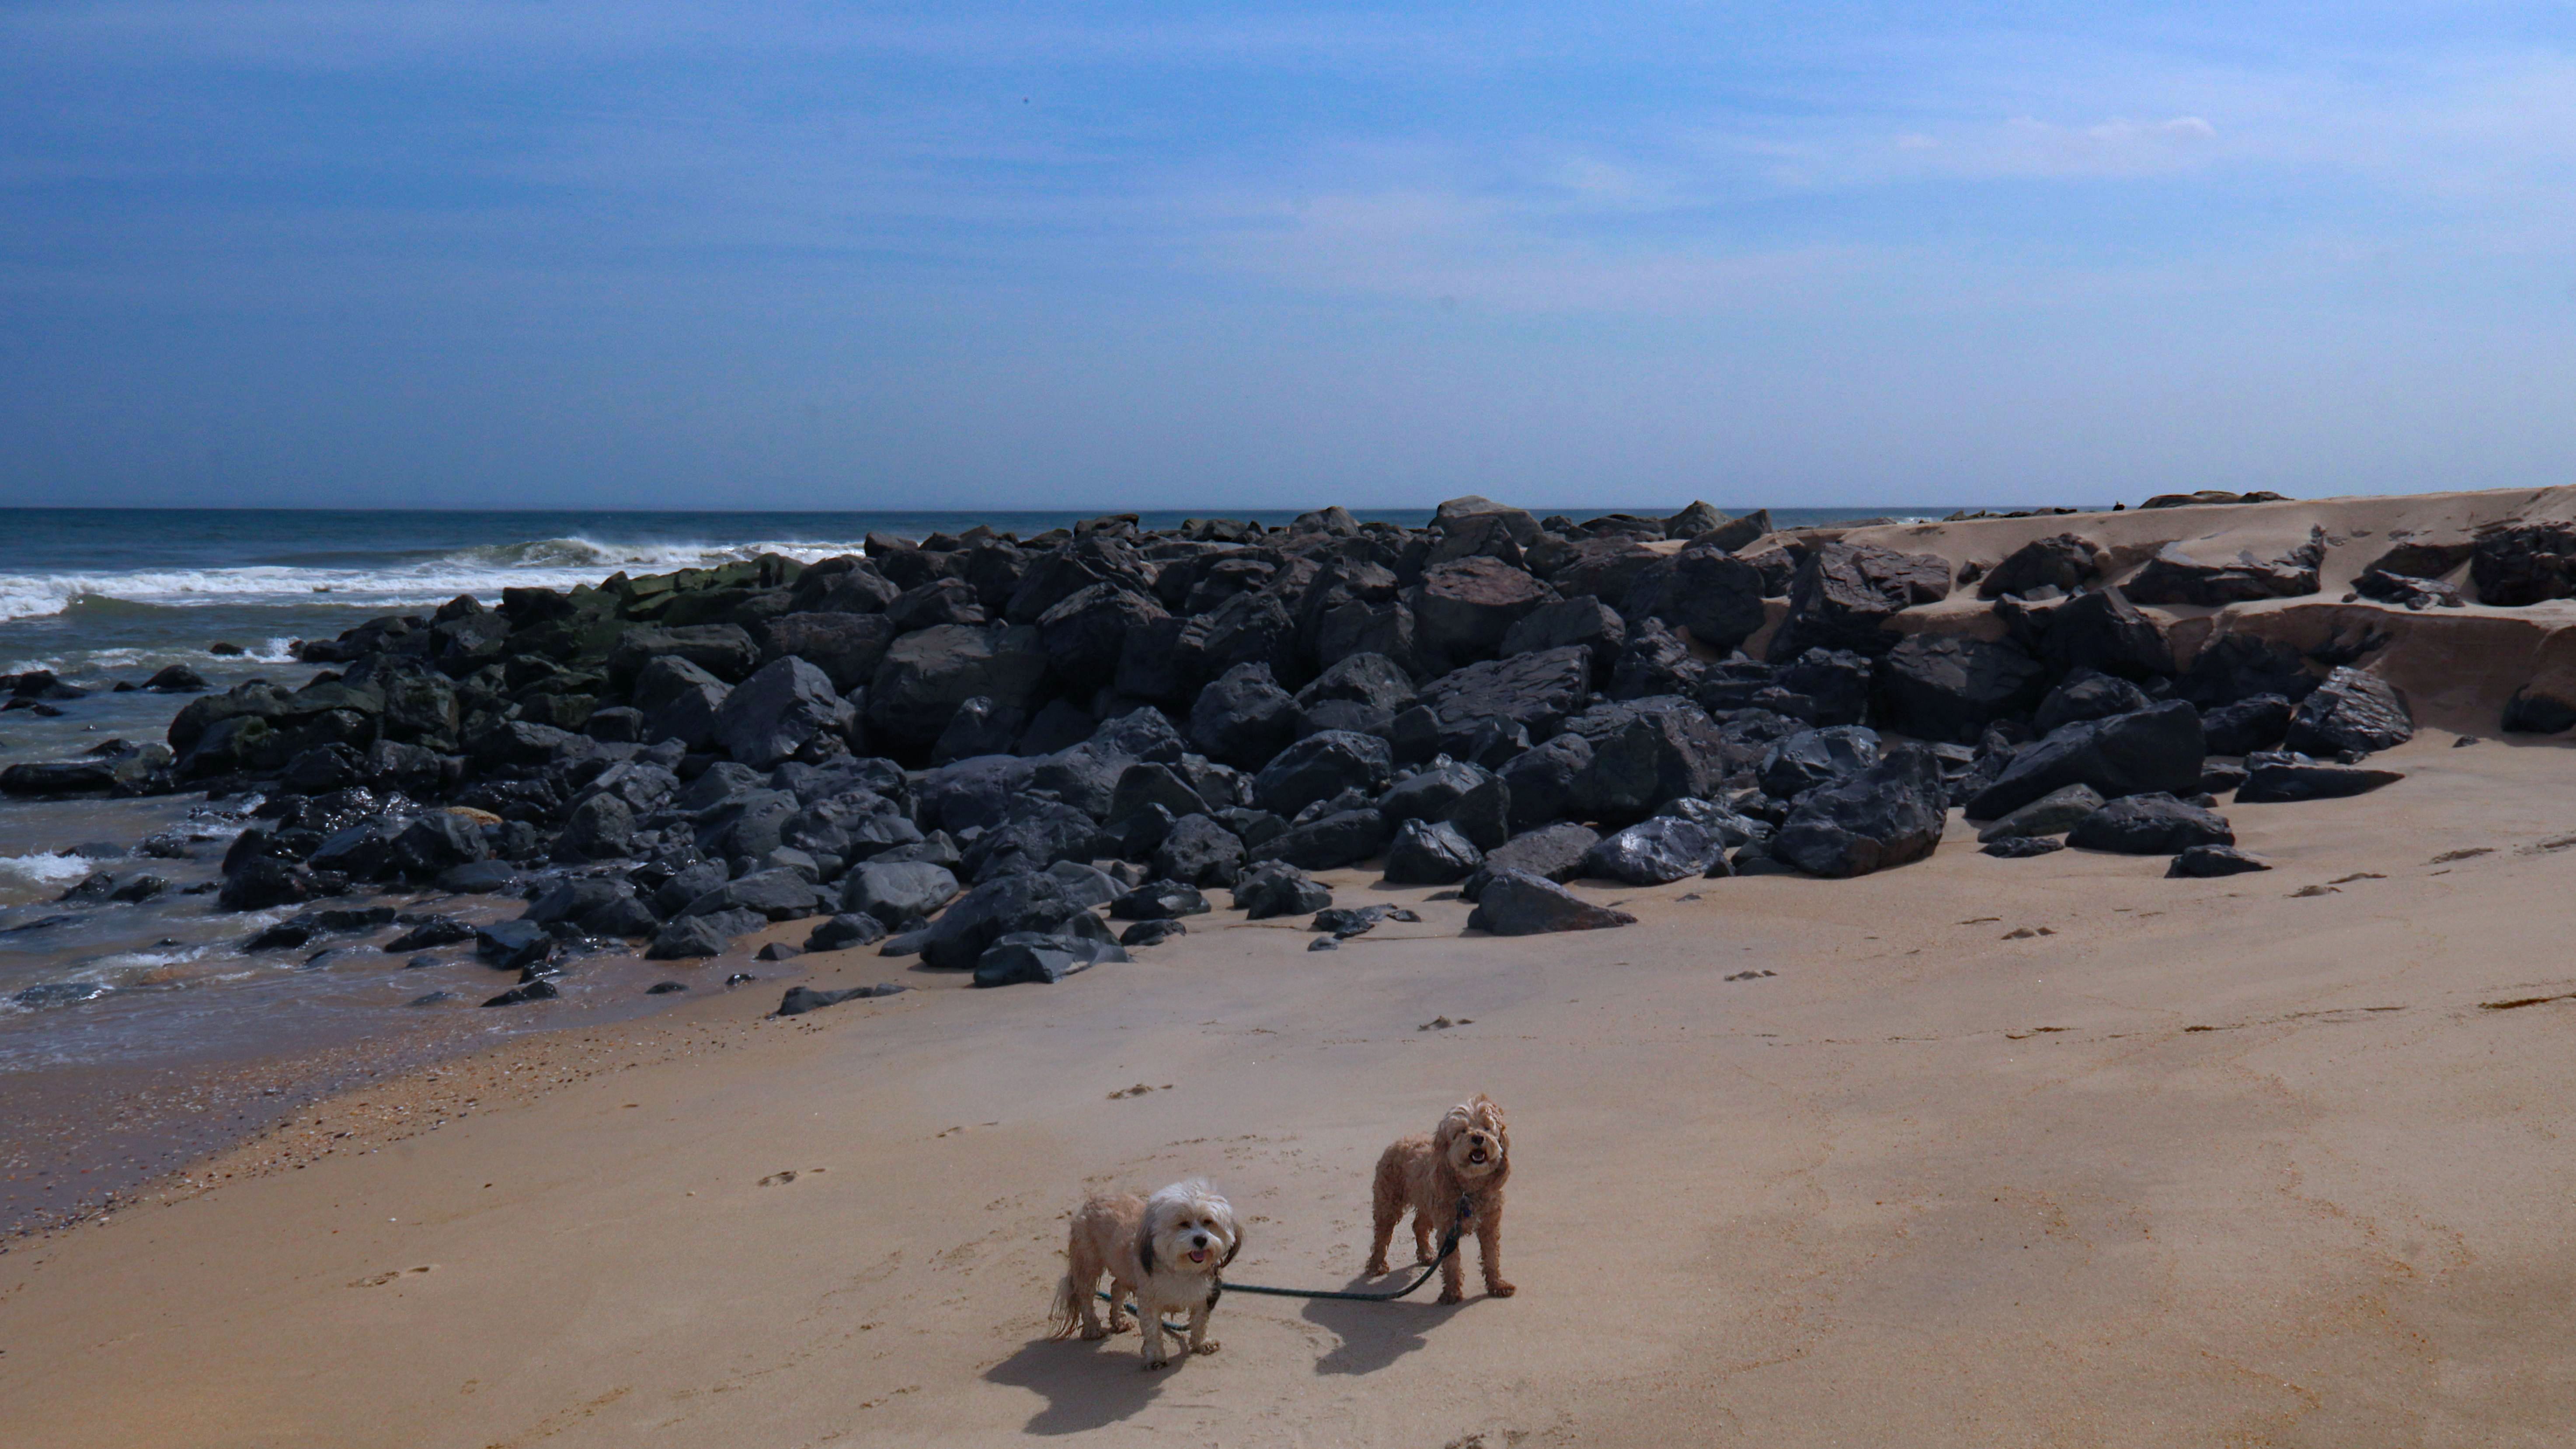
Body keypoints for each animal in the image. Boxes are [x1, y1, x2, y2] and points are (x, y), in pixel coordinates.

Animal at [1049, 1178, 1242, 1369]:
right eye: (1183, 1224)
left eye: (1208, 1222)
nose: (1201, 1240)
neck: (1182, 1269)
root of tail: (1093, 1200)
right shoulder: (1149, 1300)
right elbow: (1153, 1330)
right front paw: (1156, 1358)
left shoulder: (1206, 1296)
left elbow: (1200, 1321)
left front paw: (1202, 1343)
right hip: (1088, 1264)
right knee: (1086, 1297)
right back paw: (1092, 1328)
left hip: (1124, 1269)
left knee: (1116, 1288)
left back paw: (1119, 1321)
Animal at [1367, 1093, 1514, 1303]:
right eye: (1462, 1131)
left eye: (1487, 1128)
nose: (1478, 1138)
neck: (1468, 1189)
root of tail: (1397, 1142)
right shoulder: (1447, 1228)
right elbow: (1452, 1264)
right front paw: (1452, 1293)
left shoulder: (1489, 1224)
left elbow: (1492, 1257)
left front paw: (1497, 1285)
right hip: (1389, 1203)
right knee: (1382, 1235)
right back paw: (1377, 1266)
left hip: (1427, 1203)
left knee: (1419, 1226)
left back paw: (1427, 1254)